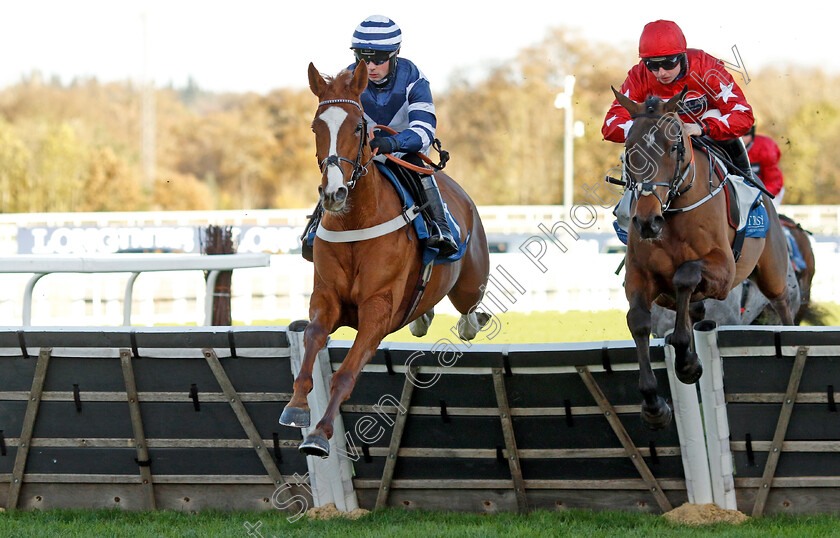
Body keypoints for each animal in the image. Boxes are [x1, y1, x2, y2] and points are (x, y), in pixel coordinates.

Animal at [282, 62, 492, 456]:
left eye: (358, 126)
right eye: (317, 126)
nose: (334, 193)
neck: (355, 220)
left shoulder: (378, 311)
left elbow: (346, 373)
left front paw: (320, 434)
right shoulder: (327, 299)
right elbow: (312, 338)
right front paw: (297, 407)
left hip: (470, 280)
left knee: (469, 312)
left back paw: (470, 322)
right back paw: (423, 317)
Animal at [612, 87, 796, 428]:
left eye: (674, 147)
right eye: (630, 150)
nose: (646, 221)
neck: (671, 213)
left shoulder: (723, 271)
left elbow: (684, 276)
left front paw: (687, 363)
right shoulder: (640, 278)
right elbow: (639, 321)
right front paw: (654, 405)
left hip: (773, 274)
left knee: (782, 306)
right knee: (693, 307)